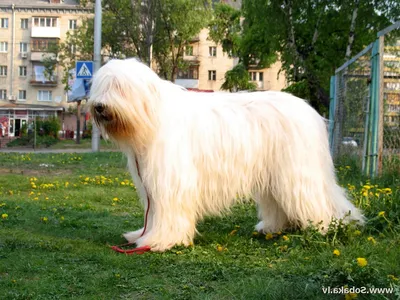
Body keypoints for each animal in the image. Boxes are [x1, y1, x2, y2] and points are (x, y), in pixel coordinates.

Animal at [89, 58, 364, 251]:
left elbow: (168, 211)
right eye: (101, 86)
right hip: (275, 175)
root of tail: (312, 113)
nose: (99, 107)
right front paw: (143, 235)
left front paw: (160, 240)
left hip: (297, 172)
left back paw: (326, 227)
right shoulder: (151, 183)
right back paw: (272, 227)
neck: (152, 116)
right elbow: (153, 212)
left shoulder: (171, 179)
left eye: (119, 87)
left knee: (318, 199)